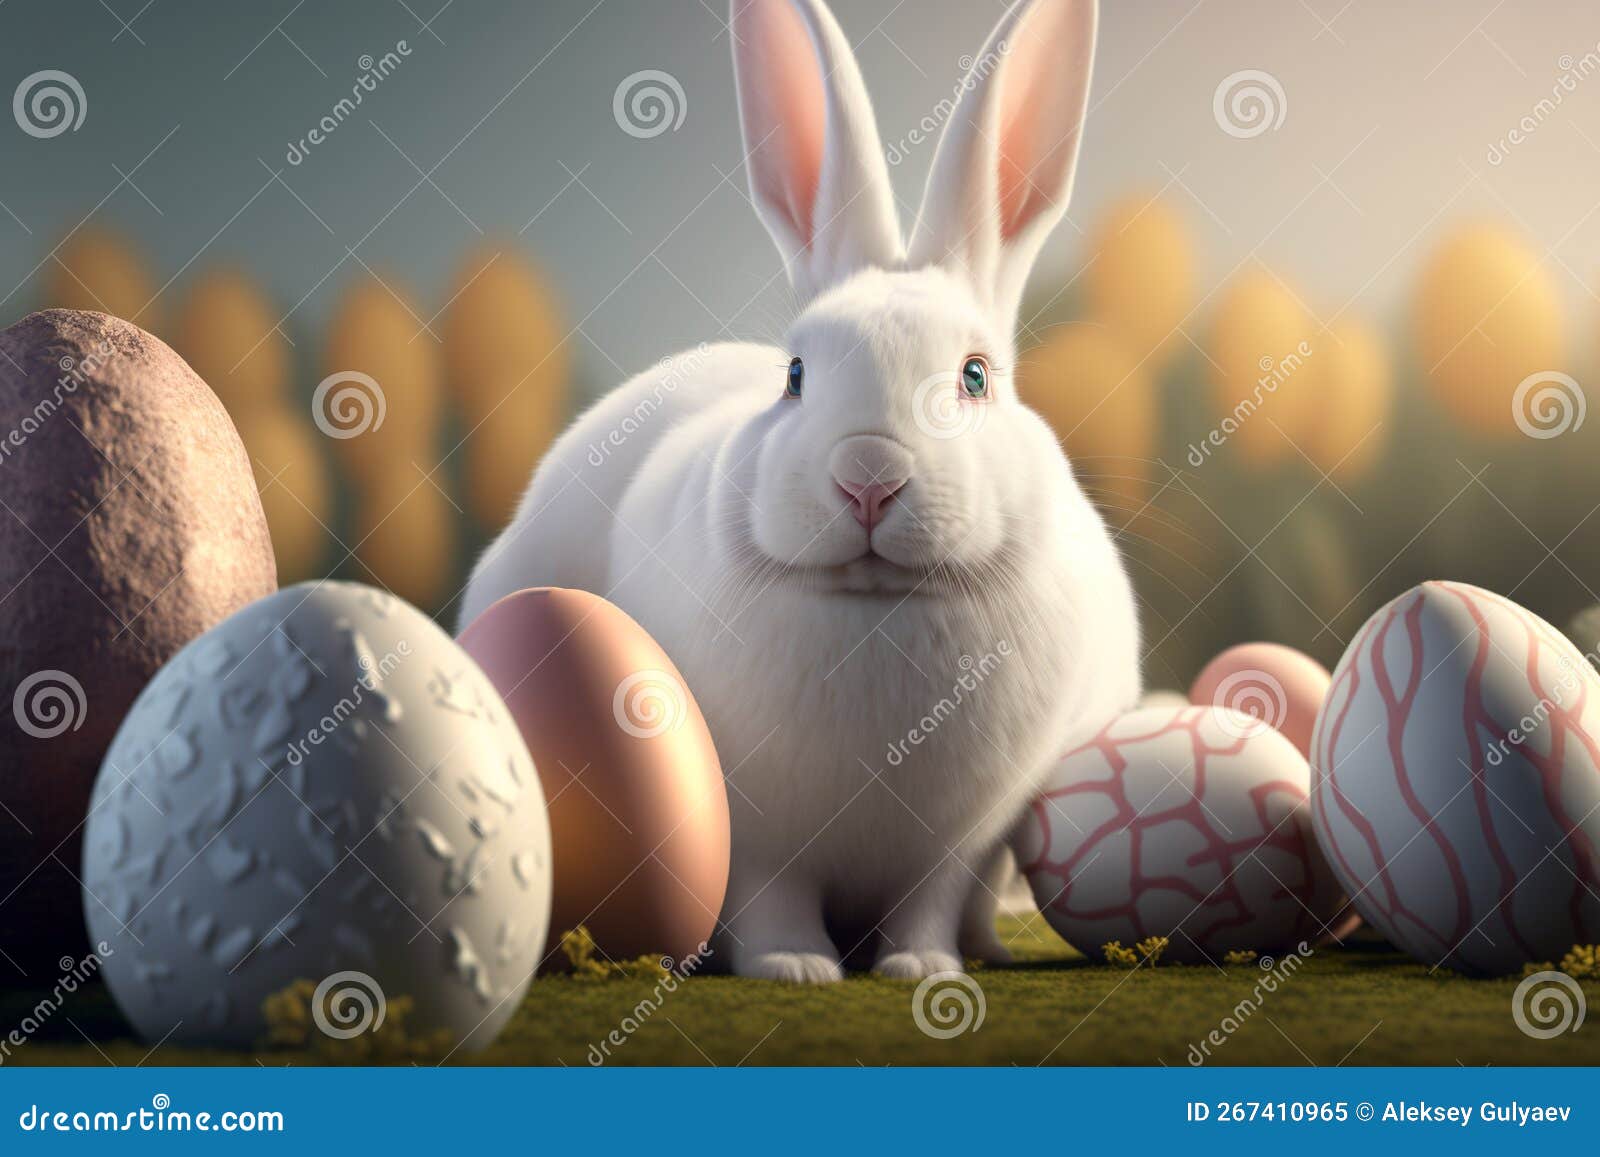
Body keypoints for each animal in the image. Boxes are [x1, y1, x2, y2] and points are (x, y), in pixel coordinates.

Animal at [461, 0, 1140, 982]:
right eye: (795, 376)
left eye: (975, 376)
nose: (869, 477)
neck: (875, 605)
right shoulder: (759, 842)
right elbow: (772, 900)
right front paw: (795, 967)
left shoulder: (958, 846)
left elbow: (929, 903)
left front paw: (923, 969)